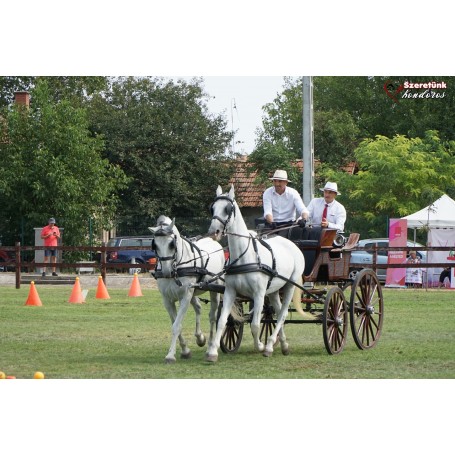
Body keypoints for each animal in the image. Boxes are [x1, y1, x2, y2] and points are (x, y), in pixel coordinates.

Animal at [150, 216, 226, 364]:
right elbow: (175, 323)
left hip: (214, 290)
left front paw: (170, 356)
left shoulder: (184, 296)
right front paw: (185, 350)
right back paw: (200, 338)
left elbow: (176, 326)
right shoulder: (167, 300)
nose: (166, 272)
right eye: (155, 245)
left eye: (172, 244)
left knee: (212, 317)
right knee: (198, 308)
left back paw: (210, 348)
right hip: (194, 291)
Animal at [208, 185, 306, 364]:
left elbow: (255, 324)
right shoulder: (230, 291)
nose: (214, 232)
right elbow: (222, 321)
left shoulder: (259, 294)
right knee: (278, 312)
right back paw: (282, 345)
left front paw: (260, 345)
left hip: (290, 285)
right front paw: (212, 352)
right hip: (274, 290)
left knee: (282, 314)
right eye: (212, 208)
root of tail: (292, 245)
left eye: (228, 209)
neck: (245, 256)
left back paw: (268, 347)